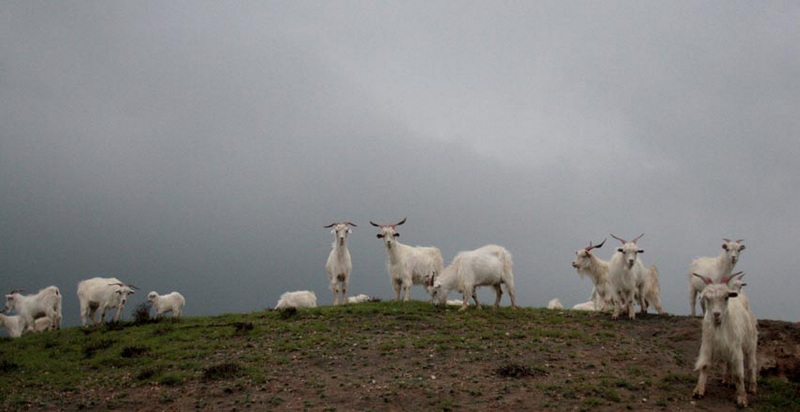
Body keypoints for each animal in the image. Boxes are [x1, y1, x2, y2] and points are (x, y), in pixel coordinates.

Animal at [692, 272, 760, 408]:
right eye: (707, 298)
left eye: (726, 297)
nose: (716, 314)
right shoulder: (707, 345)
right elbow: (704, 366)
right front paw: (699, 390)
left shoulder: (736, 348)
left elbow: (739, 374)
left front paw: (742, 399)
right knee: (728, 363)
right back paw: (727, 379)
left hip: (750, 342)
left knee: (752, 363)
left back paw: (752, 386)